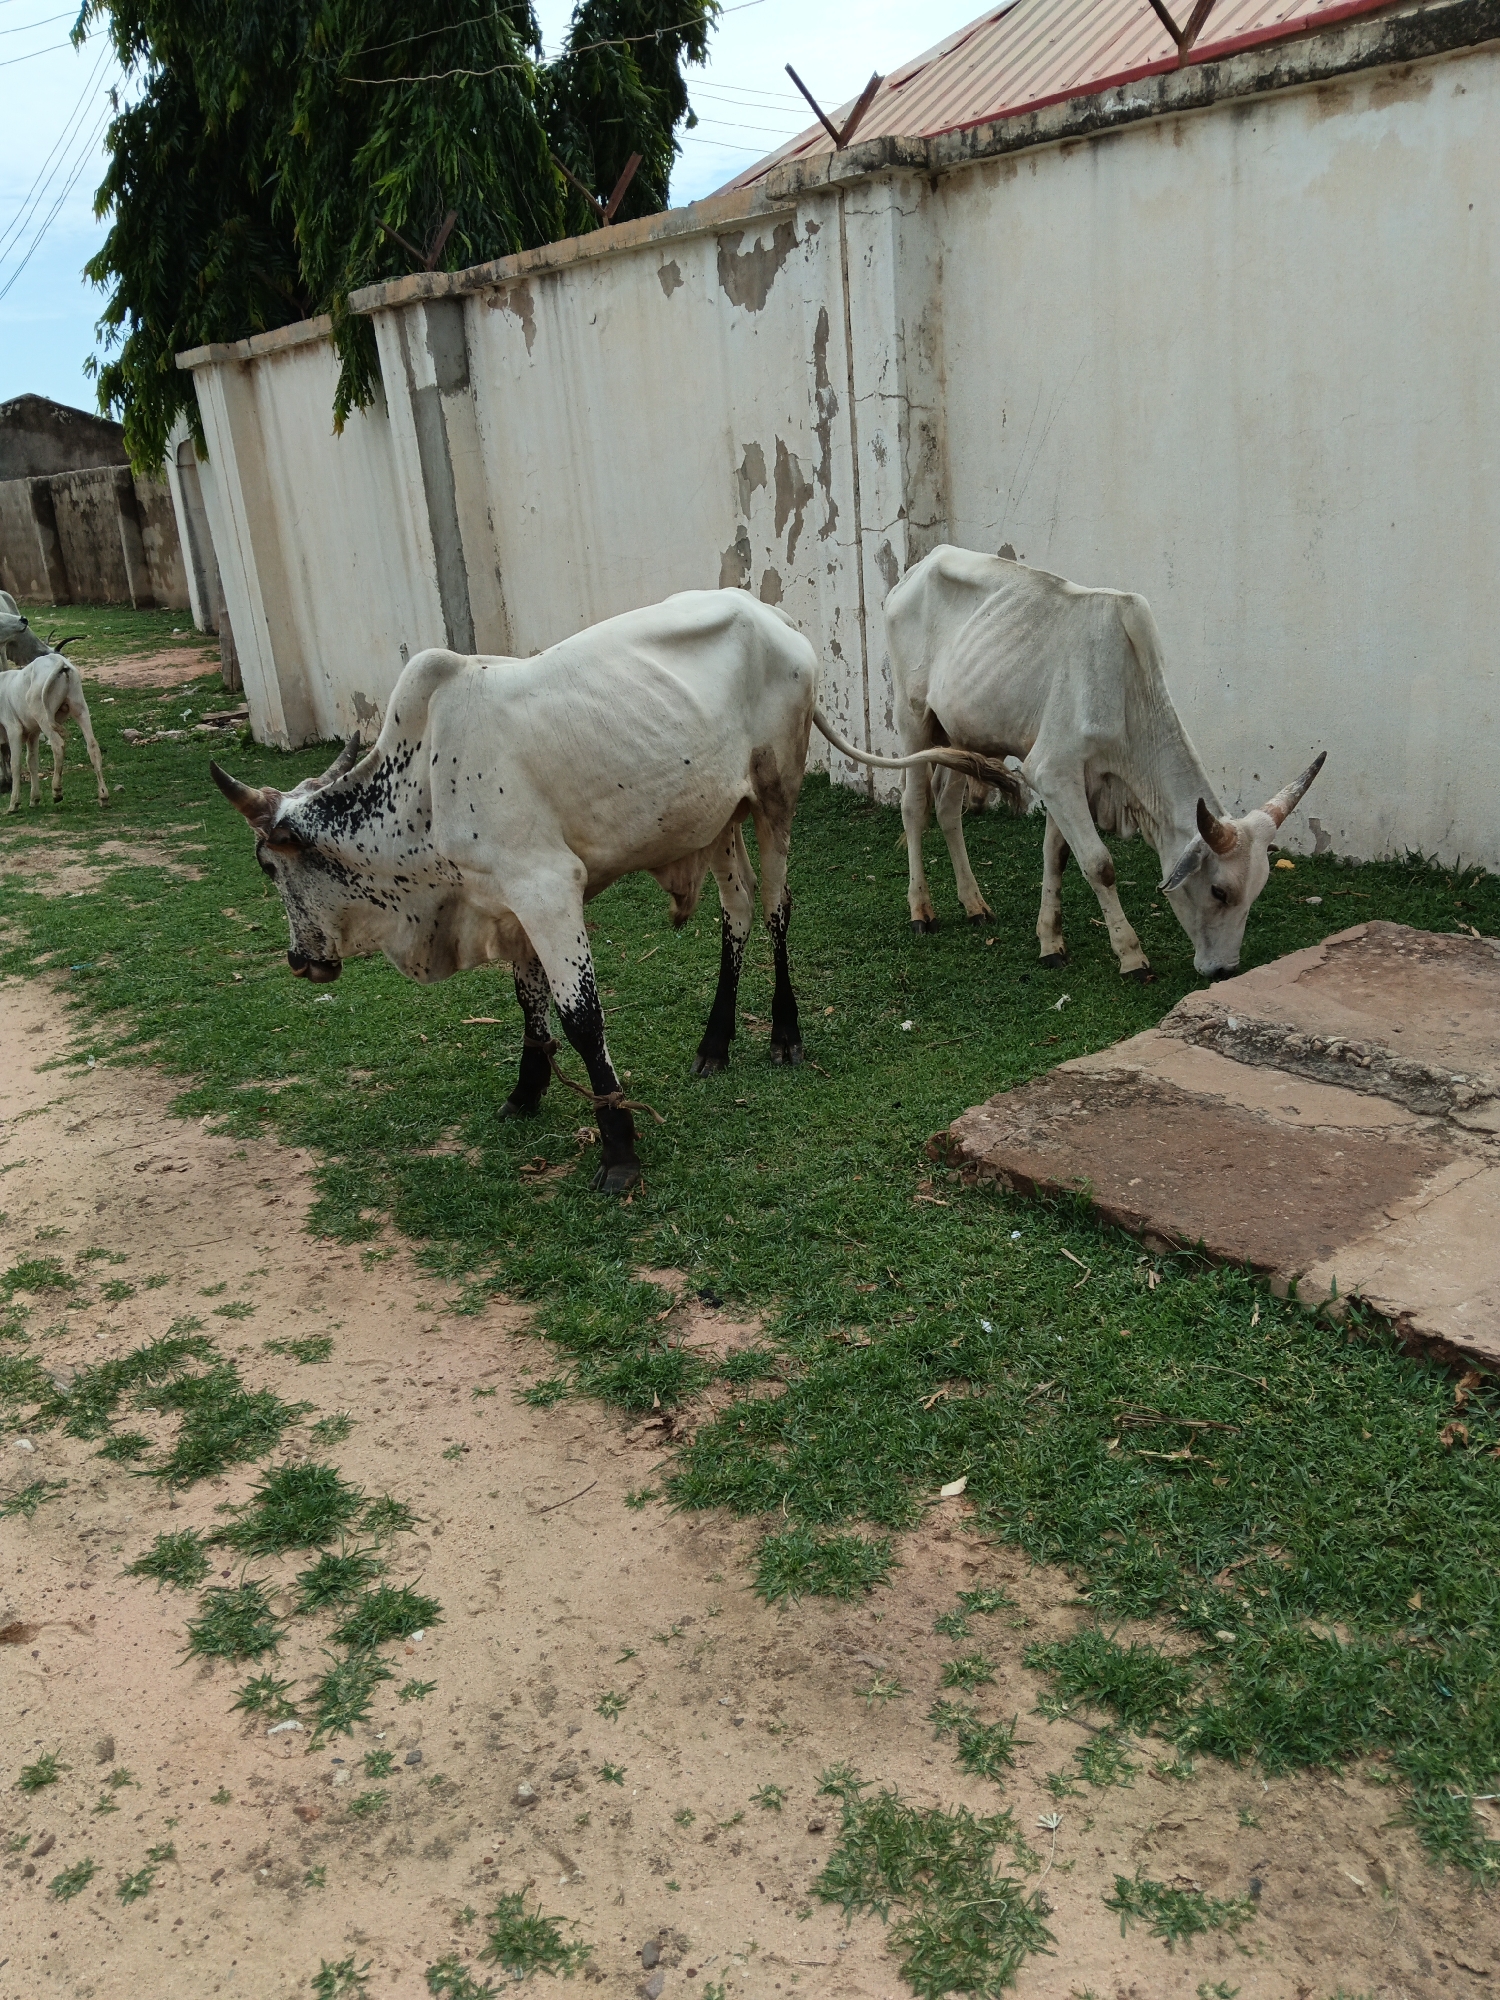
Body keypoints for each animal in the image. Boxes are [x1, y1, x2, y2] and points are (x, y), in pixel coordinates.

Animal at [0, 649, 110, 814]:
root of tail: (59, 662)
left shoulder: (13, 729)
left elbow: (16, 763)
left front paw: (14, 804)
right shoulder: (33, 732)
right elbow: (32, 761)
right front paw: (34, 799)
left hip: (43, 716)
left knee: (58, 744)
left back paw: (57, 790)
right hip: (79, 708)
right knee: (93, 746)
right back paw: (103, 796)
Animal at [821, 546, 1325, 982]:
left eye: (1256, 892)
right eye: (1220, 891)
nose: (1224, 970)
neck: (1129, 697)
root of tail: (920, 565)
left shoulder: (1070, 780)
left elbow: (1057, 855)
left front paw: (1050, 941)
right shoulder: (1053, 771)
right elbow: (1099, 863)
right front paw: (1130, 954)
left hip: (961, 730)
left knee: (947, 810)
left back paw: (974, 905)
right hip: (913, 718)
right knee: (915, 807)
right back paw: (921, 911)